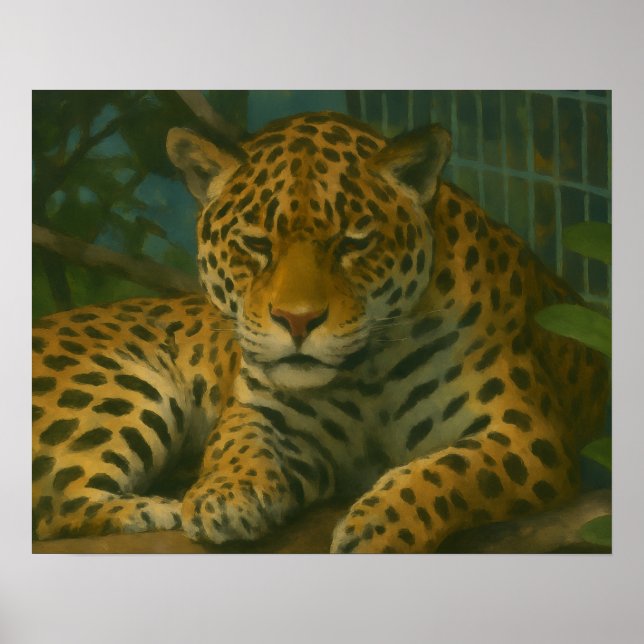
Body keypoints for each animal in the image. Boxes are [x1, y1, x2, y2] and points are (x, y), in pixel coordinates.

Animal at [32, 111, 609, 553]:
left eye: (352, 243)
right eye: (256, 243)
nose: (298, 321)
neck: (367, 372)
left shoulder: (527, 431)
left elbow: (451, 471)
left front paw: (378, 525)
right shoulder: (264, 412)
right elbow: (237, 443)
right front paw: (223, 497)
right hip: (123, 387)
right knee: (56, 505)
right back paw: (157, 509)